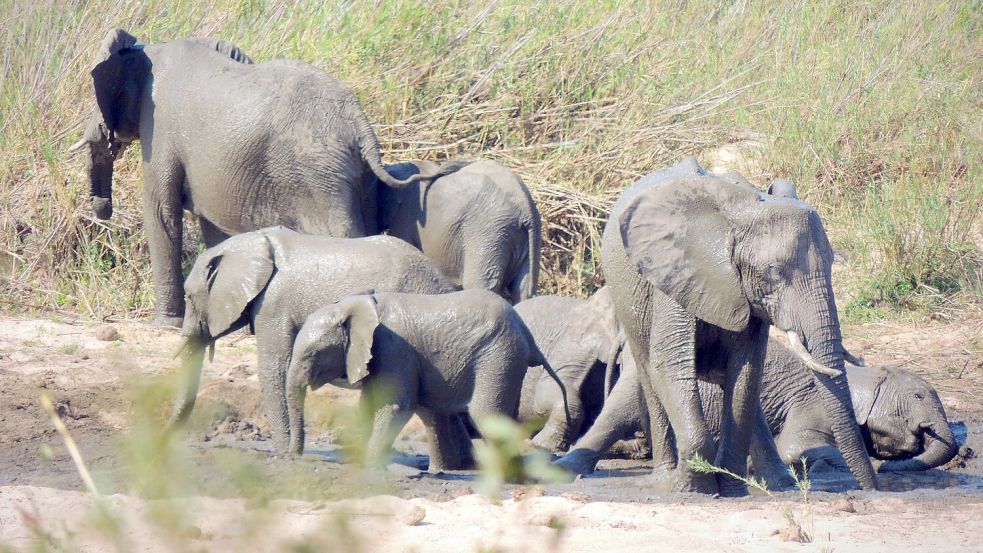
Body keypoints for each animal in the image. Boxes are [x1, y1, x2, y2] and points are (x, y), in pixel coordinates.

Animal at [69, 28, 462, 326]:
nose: (102, 208)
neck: (150, 47)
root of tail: (361, 126)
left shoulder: (161, 127)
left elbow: (161, 212)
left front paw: (163, 325)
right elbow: (214, 227)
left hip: (320, 176)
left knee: (344, 234)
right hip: (354, 176)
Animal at [172, 226, 458, 450]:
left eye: (188, 297)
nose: (167, 435)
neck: (252, 243)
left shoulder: (273, 304)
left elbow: (273, 368)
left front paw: (283, 453)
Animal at [282, 288, 568, 470]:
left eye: (312, 354)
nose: (293, 457)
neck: (355, 305)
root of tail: (528, 335)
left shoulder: (394, 350)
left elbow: (396, 406)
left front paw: (369, 466)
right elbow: (368, 405)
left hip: (500, 355)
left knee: (485, 414)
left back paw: (514, 479)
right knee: (436, 411)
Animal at [564, 156, 880, 496]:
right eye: (774, 272)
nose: (869, 488)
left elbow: (746, 370)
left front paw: (731, 488)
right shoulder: (674, 273)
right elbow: (670, 364)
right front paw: (692, 488)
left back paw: (776, 483)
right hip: (629, 303)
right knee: (649, 375)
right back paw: (663, 479)